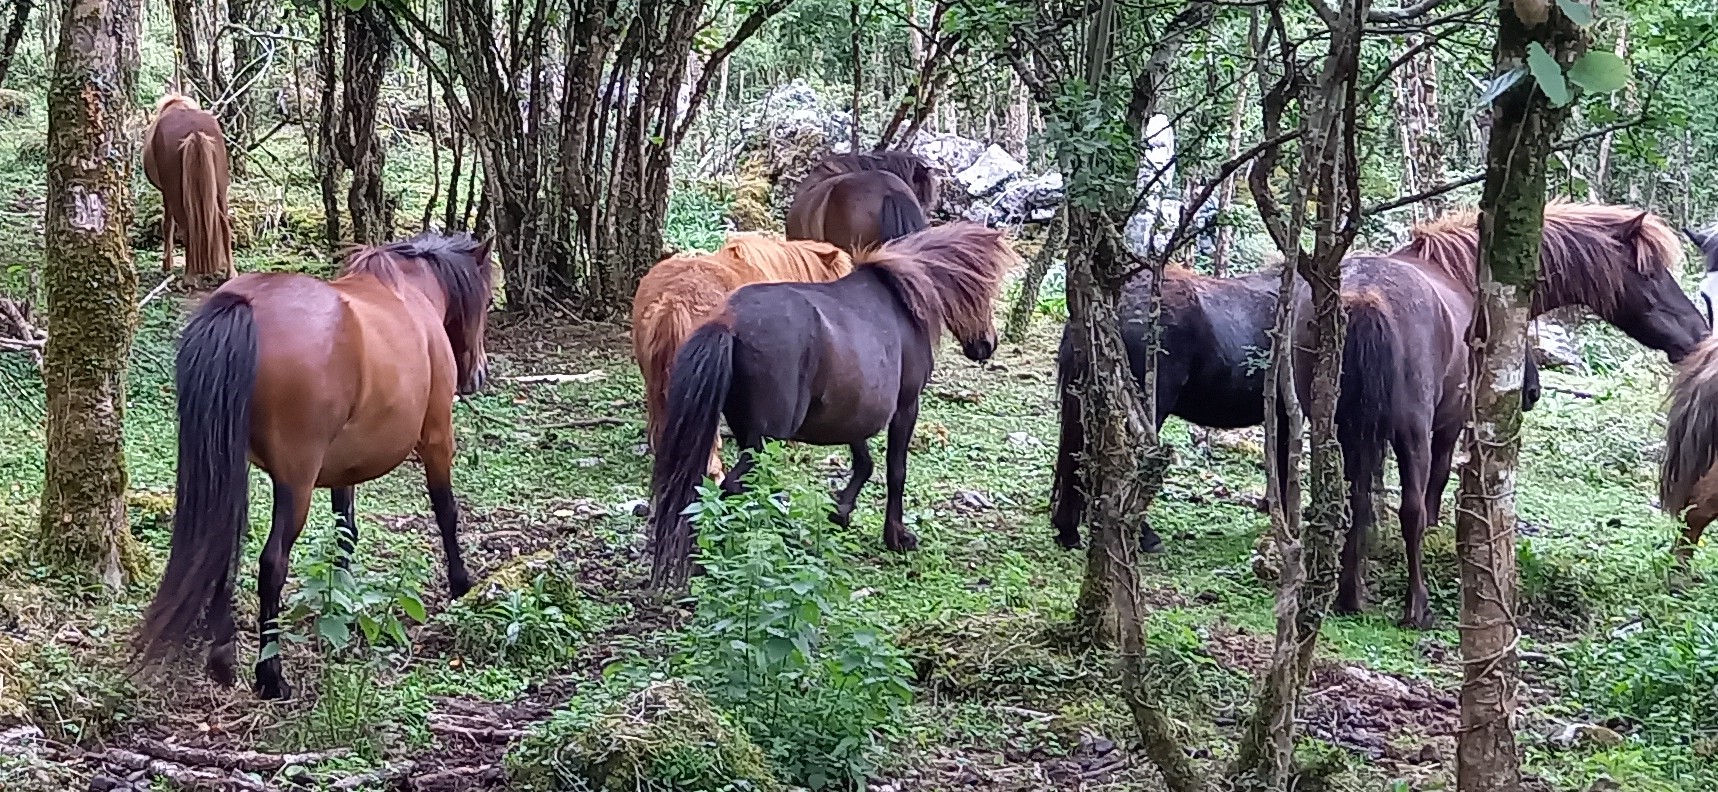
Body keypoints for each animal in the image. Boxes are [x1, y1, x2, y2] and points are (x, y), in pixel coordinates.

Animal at [134, 232, 494, 700]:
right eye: (488, 300)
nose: (479, 375)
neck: (411, 293)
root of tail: (244, 303)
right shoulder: (436, 436)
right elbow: (446, 512)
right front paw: (461, 584)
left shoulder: (345, 466)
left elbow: (346, 535)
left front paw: (339, 606)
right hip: (297, 482)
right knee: (272, 563)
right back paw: (271, 676)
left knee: (223, 547)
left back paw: (223, 656)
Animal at [143, 93, 235, 280]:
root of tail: (195, 131)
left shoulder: (166, 193)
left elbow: (168, 223)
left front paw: (167, 264)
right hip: (220, 188)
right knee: (225, 225)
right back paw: (230, 273)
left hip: (175, 190)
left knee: (187, 227)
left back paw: (189, 277)